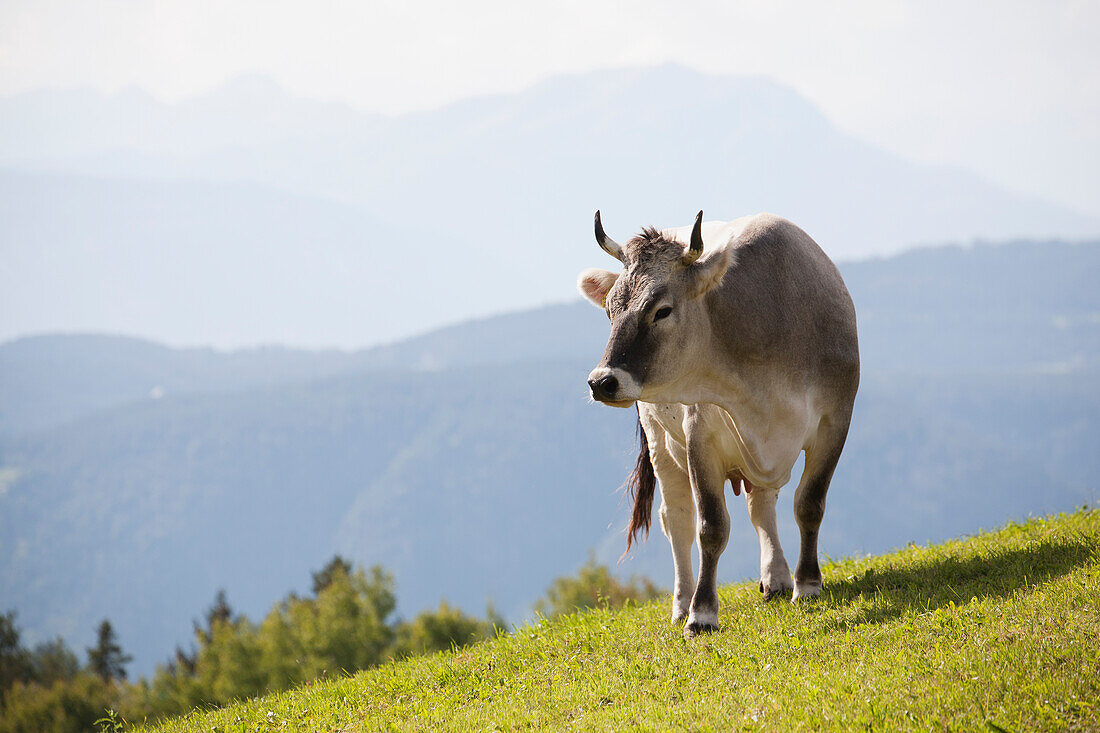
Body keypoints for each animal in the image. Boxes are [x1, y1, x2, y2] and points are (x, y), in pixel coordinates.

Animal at [576, 210, 858, 633]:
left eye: (662, 310)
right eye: (610, 310)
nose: (601, 381)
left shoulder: (835, 420)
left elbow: (810, 503)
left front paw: (807, 585)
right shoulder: (700, 436)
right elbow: (710, 527)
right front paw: (701, 613)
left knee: (761, 504)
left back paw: (776, 577)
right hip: (660, 441)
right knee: (676, 519)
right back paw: (681, 603)